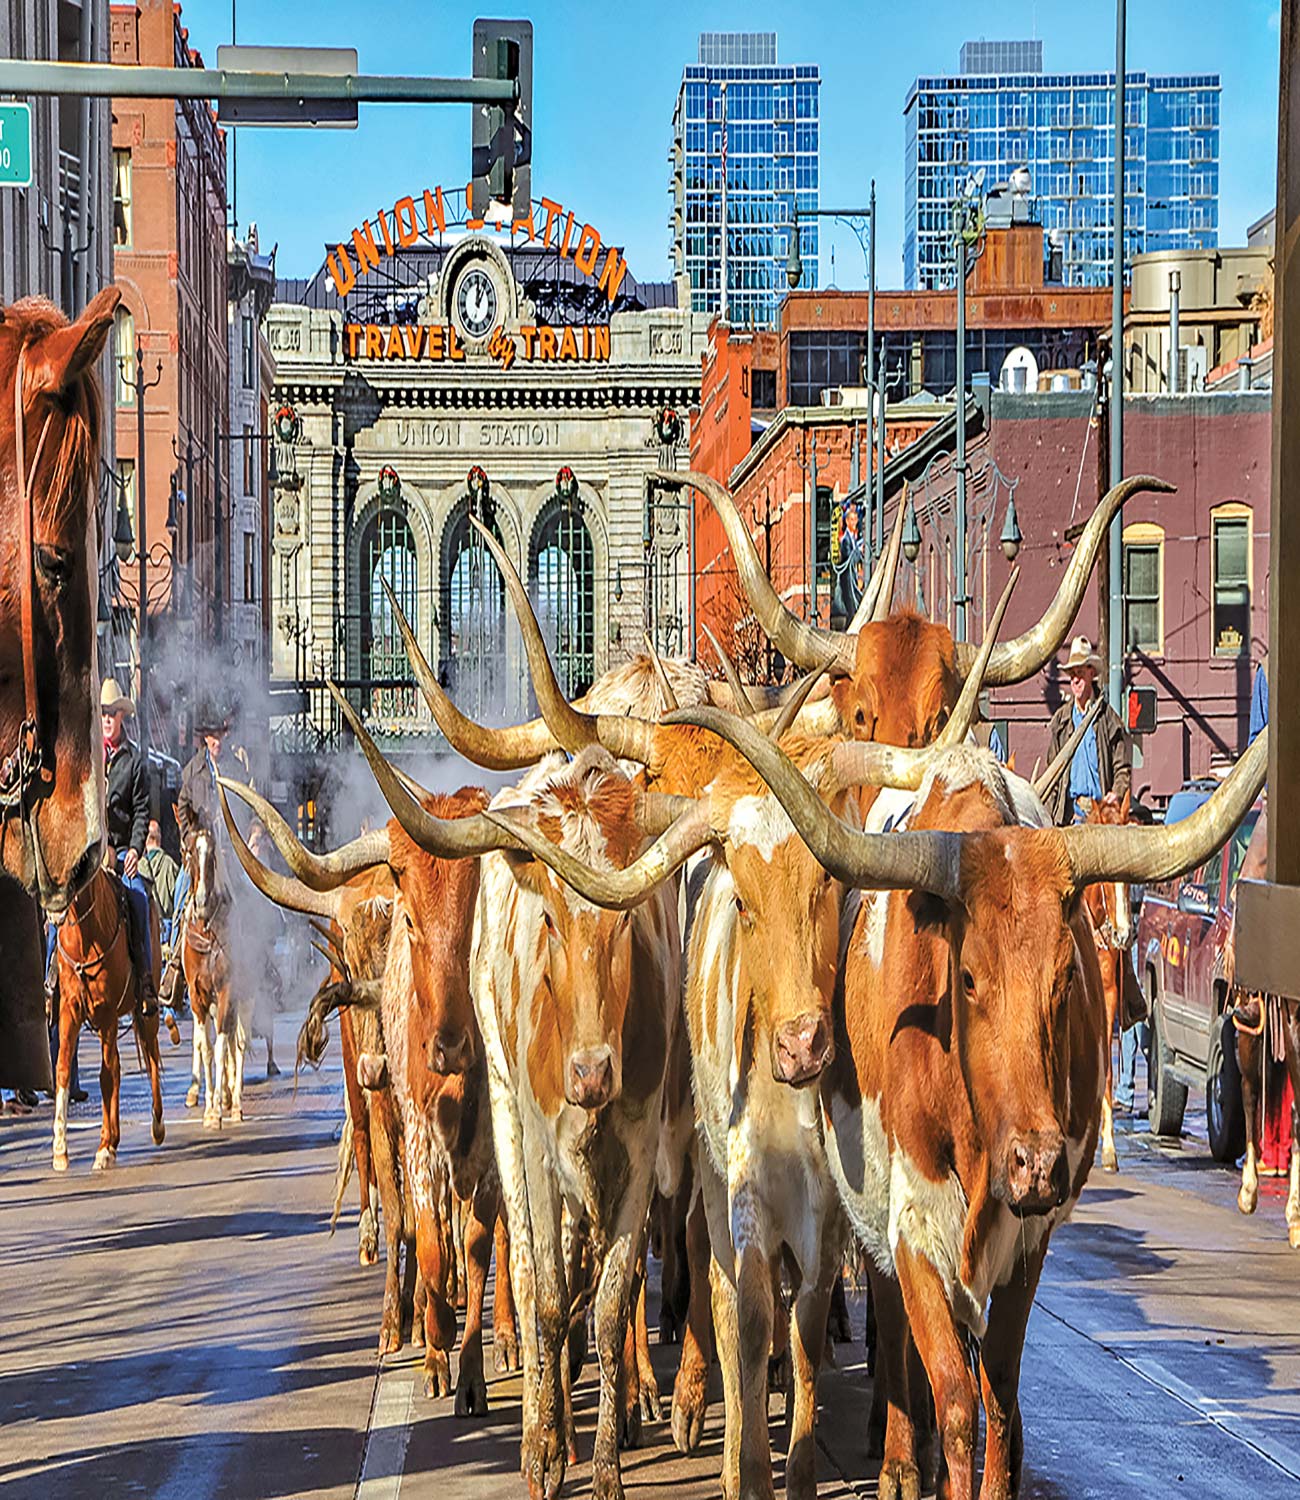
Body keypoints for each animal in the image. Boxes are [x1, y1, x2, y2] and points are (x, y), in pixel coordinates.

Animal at [52, 864, 166, 1164]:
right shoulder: (69, 1010)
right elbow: (63, 1068)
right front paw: (60, 1147)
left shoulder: (107, 1012)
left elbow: (106, 1076)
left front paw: (103, 1146)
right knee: (117, 1066)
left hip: (145, 1013)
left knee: (151, 1057)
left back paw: (157, 1125)